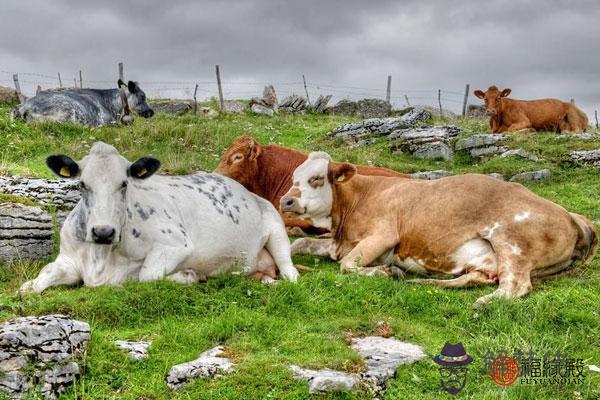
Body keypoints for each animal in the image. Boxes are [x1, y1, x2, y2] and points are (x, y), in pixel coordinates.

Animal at [17, 141, 298, 294]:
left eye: (124, 184)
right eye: (82, 184)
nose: (103, 231)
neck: (101, 258)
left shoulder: (175, 244)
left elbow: (146, 276)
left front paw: (188, 276)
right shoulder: (68, 258)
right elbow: (37, 280)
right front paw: (28, 287)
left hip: (277, 229)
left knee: (289, 271)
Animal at [282, 151, 600, 306]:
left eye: (316, 179)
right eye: (294, 176)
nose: (286, 200)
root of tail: (570, 215)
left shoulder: (383, 234)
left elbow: (347, 265)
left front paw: (382, 271)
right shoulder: (338, 242)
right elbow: (299, 244)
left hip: (513, 242)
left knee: (515, 285)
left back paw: (484, 304)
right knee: (478, 278)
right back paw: (423, 281)